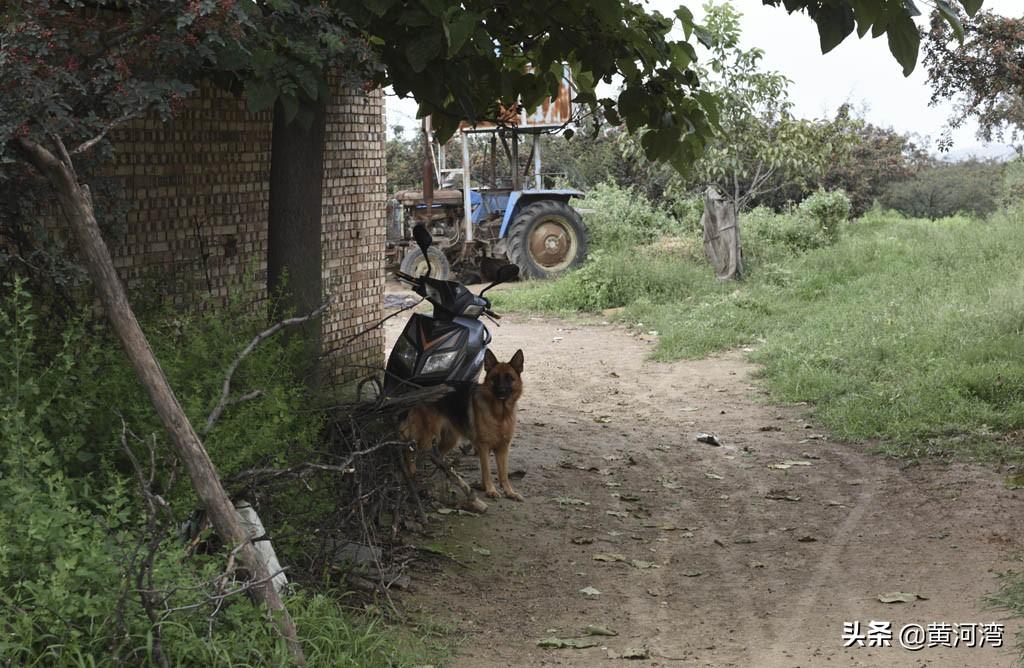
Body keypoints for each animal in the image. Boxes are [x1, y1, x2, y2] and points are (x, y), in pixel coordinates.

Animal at [399, 350, 528, 499]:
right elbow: (487, 471)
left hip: (450, 439)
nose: (501, 391)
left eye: (509, 378)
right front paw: (490, 490)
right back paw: (412, 475)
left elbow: (503, 473)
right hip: (428, 438)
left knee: (437, 456)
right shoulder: (484, 446)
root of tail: (421, 390)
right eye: (495, 378)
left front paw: (509, 492)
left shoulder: (503, 448)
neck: (500, 414)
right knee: (409, 450)